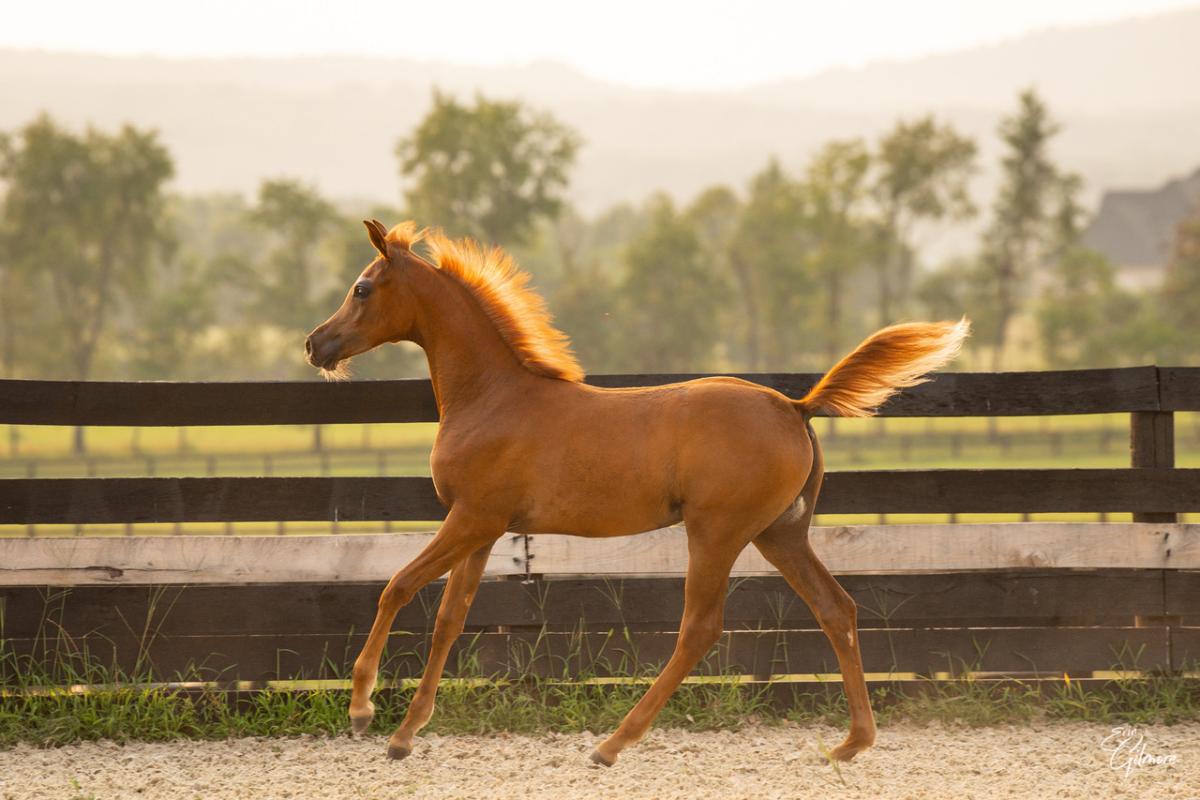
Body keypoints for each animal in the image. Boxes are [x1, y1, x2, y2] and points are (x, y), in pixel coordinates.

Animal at [304, 217, 969, 762]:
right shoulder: (485, 530)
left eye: (362, 288)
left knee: (700, 628)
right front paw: (405, 734)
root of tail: (795, 406)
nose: (316, 344)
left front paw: (363, 711)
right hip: (780, 535)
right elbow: (449, 618)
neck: (493, 398)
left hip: (717, 532)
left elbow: (397, 586)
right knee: (836, 608)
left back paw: (612, 744)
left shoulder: (470, 519)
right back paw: (852, 742)